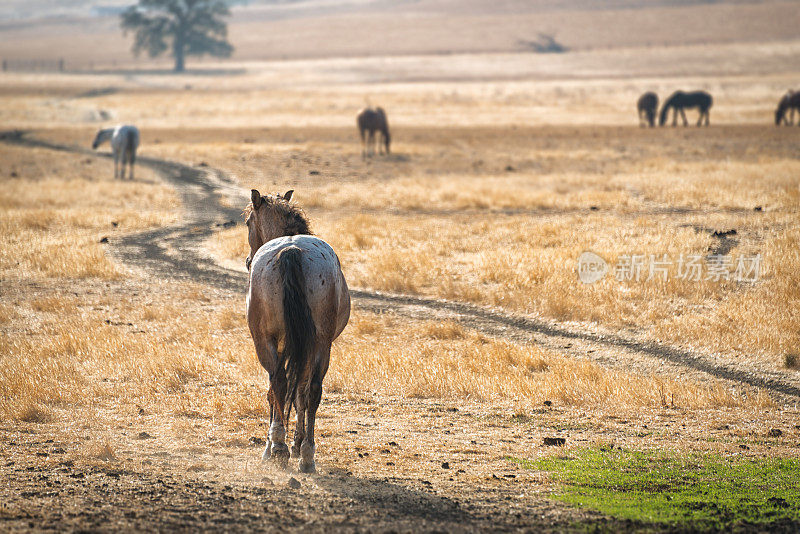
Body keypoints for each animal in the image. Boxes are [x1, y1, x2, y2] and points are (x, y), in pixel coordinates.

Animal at [244, 191, 350, 476]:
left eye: (247, 222)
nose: (248, 261)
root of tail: (291, 251)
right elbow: (298, 392)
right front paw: (294, 443)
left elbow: (277, 393)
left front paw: (276, 445)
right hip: (321, 344)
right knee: (310, 389)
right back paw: (305, 455)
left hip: (266, 342)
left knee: (280, 383)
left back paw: (282, 448)